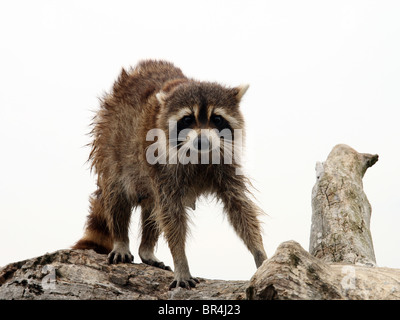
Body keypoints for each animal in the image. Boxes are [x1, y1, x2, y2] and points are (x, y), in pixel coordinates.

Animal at [73, 59, 268, 288]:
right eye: (187, 119)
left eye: (217, 119)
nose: (202, 141)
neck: (198, 155)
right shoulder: (163, 167)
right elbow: (172, 216)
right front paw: (181, 262)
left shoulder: (225, 164)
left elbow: (240, 206)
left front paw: (260, 253)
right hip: (111, 141)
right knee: (117, 194)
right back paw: (121, 240)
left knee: (153, 209)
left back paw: (146, 248)